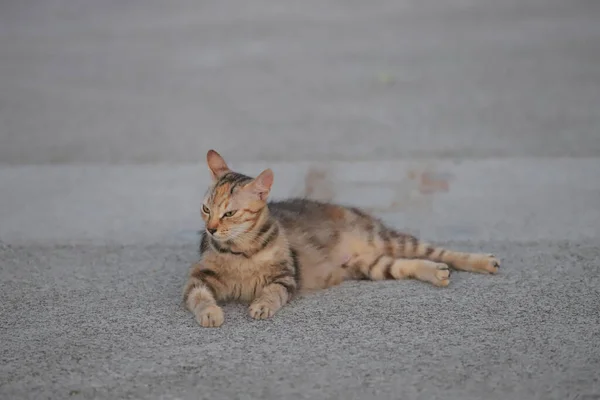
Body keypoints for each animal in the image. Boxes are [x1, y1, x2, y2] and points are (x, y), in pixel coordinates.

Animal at [180, 150, 500, 328]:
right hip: (372, 266)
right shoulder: (198, 279)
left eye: (229, 213)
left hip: (389, 239)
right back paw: (436, 273)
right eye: (206, 209)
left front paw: (261, 305)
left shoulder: (286, 278)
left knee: (440, 252)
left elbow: (271, 292)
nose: (210, 229)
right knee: (407, 264)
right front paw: (211, 314)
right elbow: (200, 298)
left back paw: (484, 262)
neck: (242, 252)